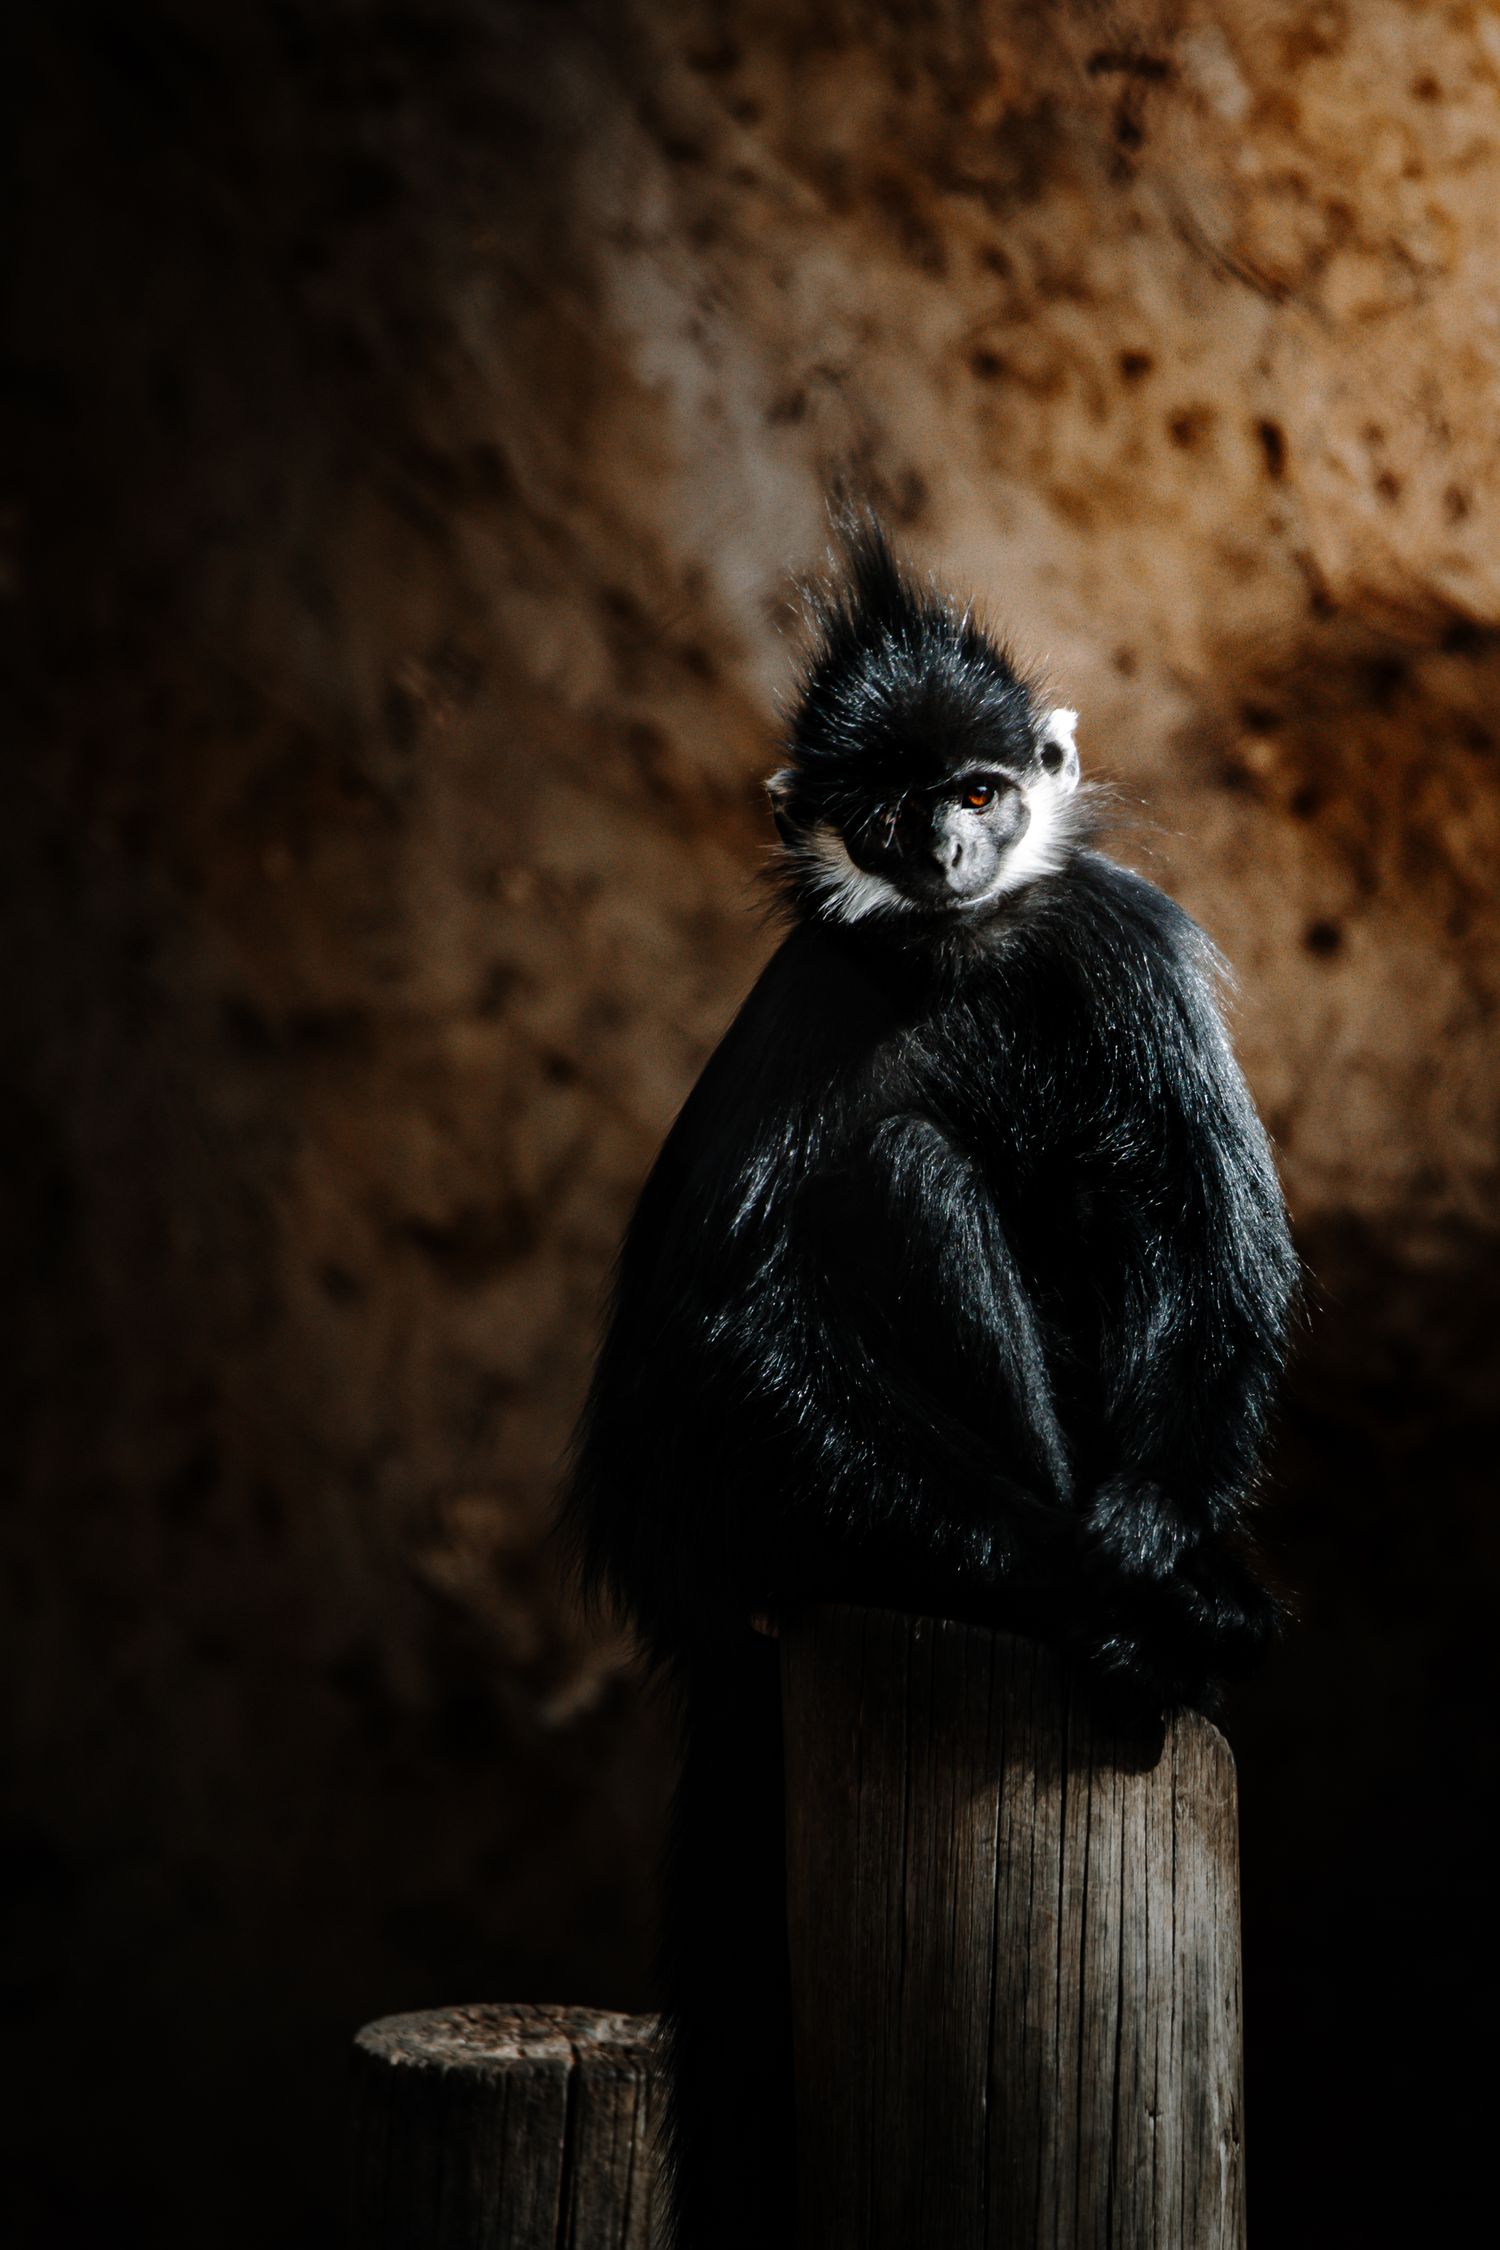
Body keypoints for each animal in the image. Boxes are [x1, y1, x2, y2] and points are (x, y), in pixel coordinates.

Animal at [562, 517, 1298, 2249]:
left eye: (979, 788)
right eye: (898, 812)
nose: (953, 848)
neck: (959, 948)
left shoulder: (1121, 932)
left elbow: (1218, 1247)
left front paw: (1158, 1560)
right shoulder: (807, 997)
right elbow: (699, 1356)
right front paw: (1096, 1581)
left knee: (1117, 1161)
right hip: (766, 1525)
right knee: (902, 1165)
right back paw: (1066, 1614)